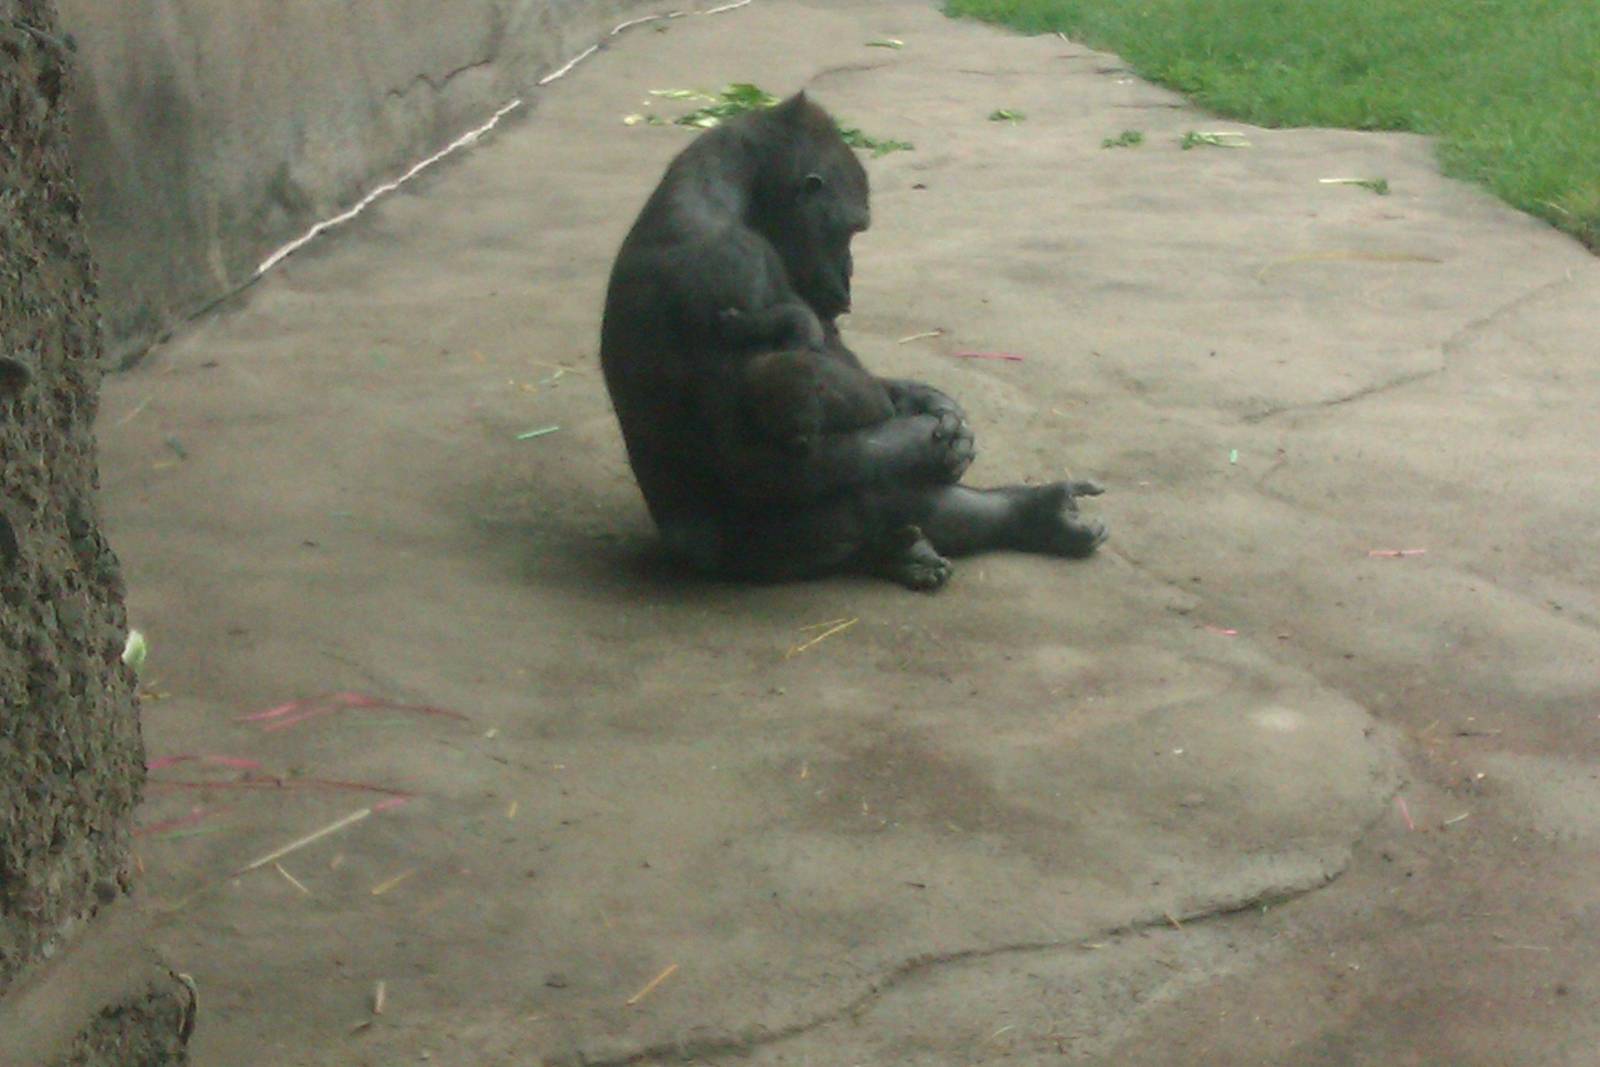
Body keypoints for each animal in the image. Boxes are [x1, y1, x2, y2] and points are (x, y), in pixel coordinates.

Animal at [599, 91, 1106, 590]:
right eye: (849, 229)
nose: (849, 271)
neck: (724, 190)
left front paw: (932, 403)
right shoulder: (731, 264)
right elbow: (765, 455)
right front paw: (930, 440)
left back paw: (1030, 515)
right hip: (763, 558)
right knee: (864, 484)